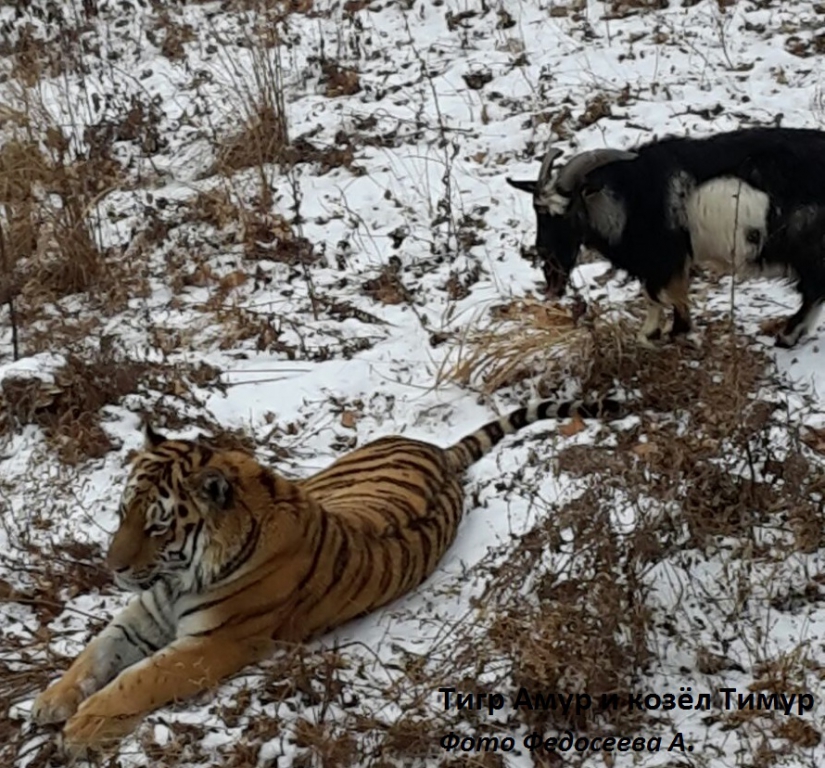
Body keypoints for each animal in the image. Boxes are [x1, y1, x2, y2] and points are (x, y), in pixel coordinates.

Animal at [33, 392, 616, 752]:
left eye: (157, 526)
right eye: (121, 513)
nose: (112, 568)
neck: (179, 577)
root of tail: (434, 450)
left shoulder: (212, 643)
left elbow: (138, 679)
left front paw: (83, 725)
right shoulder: (142, 615)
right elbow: (94, 655)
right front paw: (50, 701)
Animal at [506, 127, 824, 348]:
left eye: (568, 212)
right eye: (538, 211)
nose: (547, 258)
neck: (630, 196)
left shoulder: (664, 257)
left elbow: (660, 294)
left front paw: (665, 332)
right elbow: (658, 296)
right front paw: (659, 331)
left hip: (806, 246)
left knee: (814, 290)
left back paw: (787, 336)